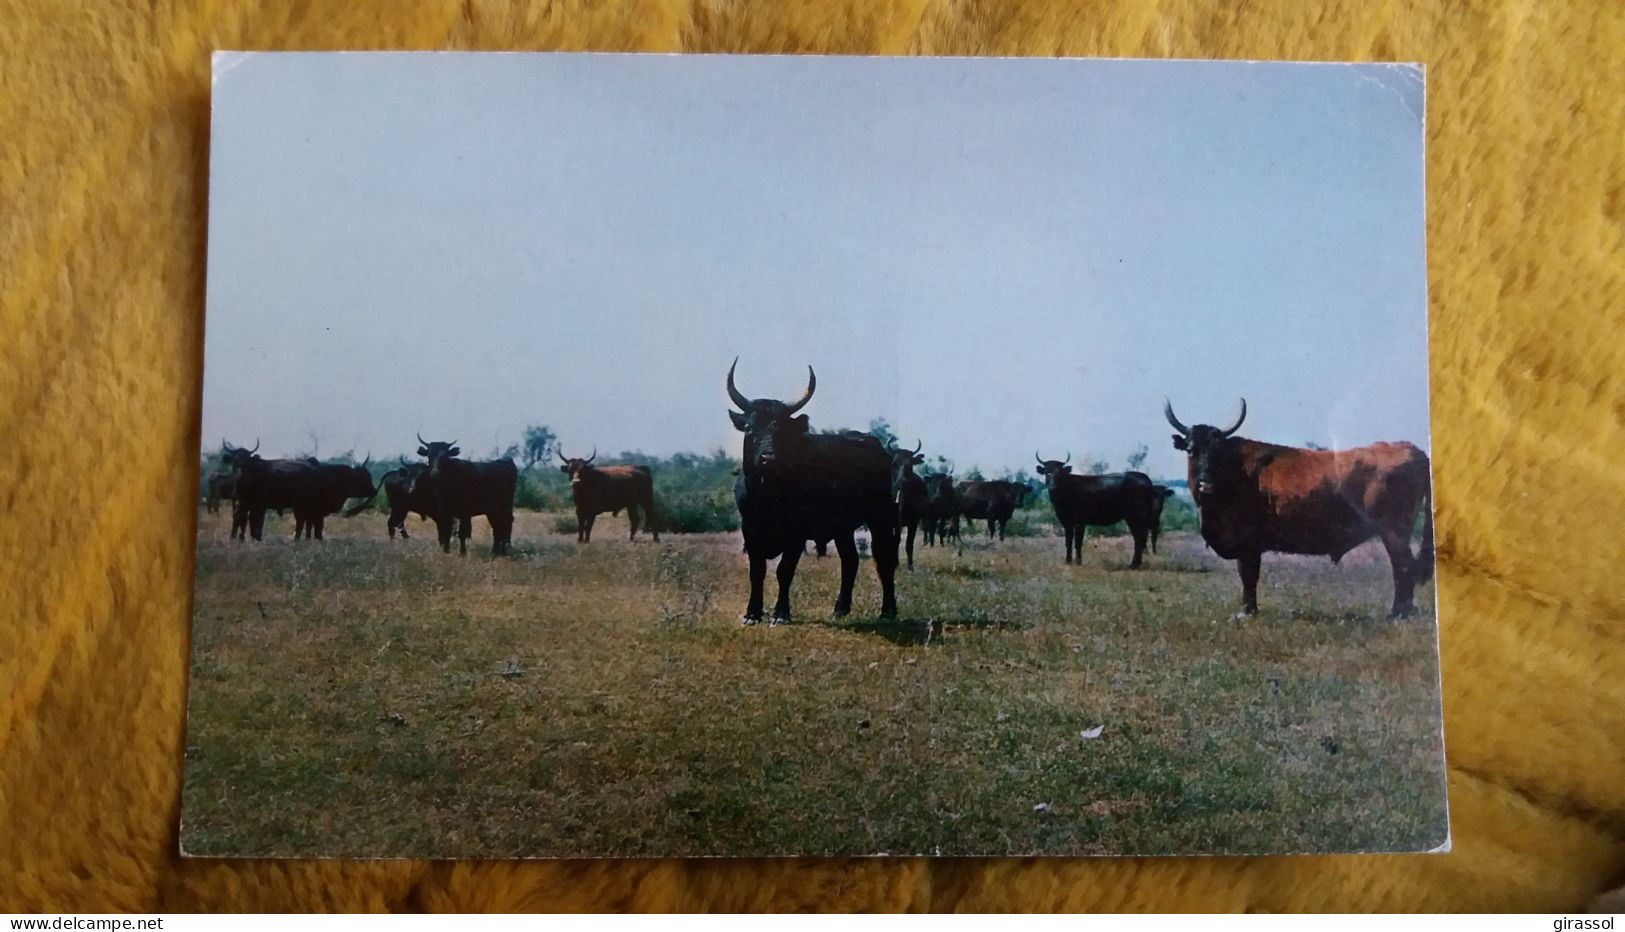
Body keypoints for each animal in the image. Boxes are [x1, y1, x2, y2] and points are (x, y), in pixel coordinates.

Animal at [728, 357, 903, 629]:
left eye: (782, 430)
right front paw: (752, 613)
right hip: (843, 528)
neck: (768, 496)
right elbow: (757, 572)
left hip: (880, 517)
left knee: (883, 559)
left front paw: (780, 613)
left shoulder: (796, 533)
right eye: (749, 428)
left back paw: (888, 611)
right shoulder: (751, 530)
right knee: (850, 559)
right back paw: (840, 608)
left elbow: (784, 570)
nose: (768, 458)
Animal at [1033, 454, 1163, 571]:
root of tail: (1145, 479)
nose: (1052, 486)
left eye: (1060, 474)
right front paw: (1068, 562)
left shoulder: (1080, 521)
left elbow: (1078, 542)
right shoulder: (1065, 522)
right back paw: (1135, 564)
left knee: (1140, 537)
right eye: (1047, 473)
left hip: (1137, 515)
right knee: (1140, 537)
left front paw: (1078, 562)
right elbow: (1068, 541)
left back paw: (1133, 565)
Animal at [1170, 396, 1436, 620]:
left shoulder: (1249, 543)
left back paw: (1398, 613)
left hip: (1393, 532)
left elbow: (1248, 575)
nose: (1205, 483)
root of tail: (1411, 449)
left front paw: (1247, 612)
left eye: (1217, 452)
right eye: (1191, 450)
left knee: (1403, 566)